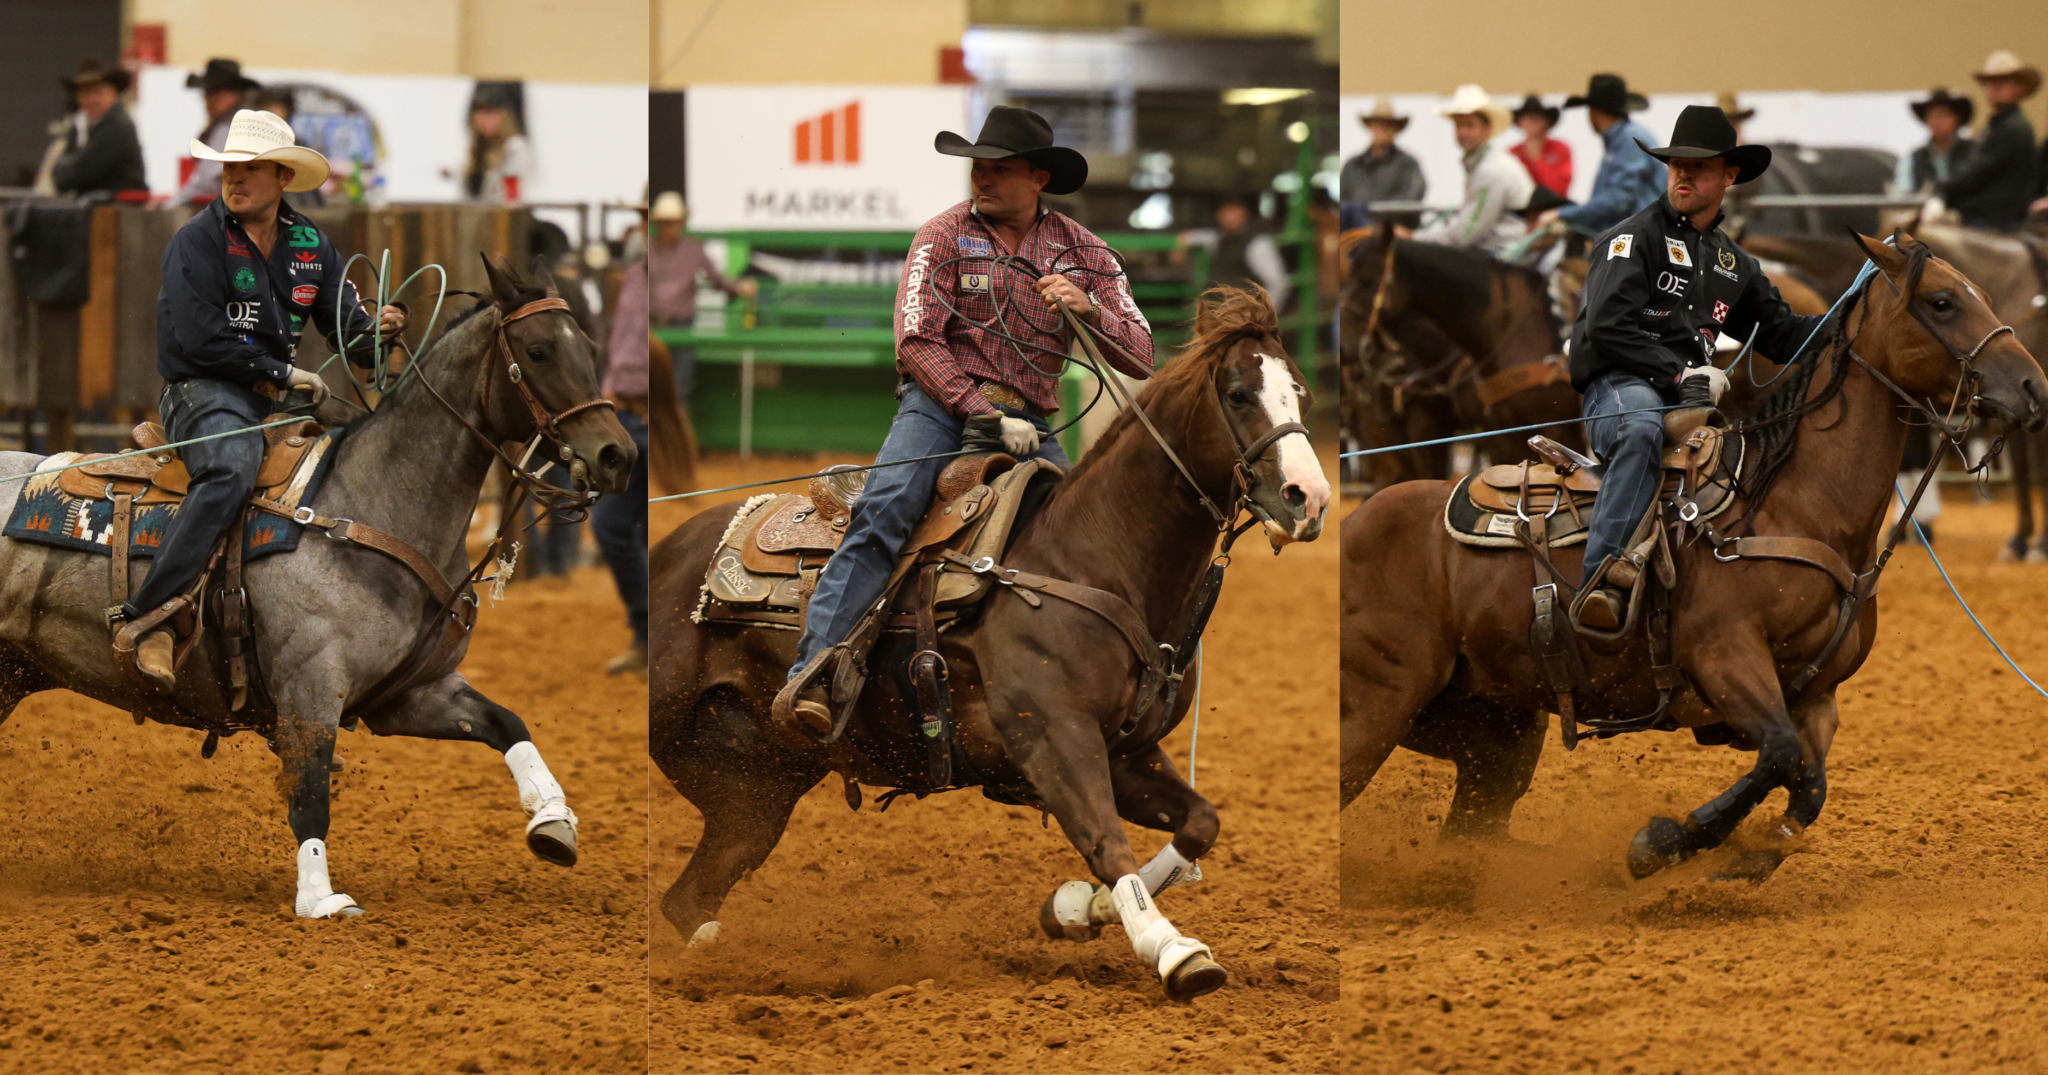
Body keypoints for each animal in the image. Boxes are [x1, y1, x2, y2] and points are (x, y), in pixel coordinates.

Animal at [0, 255, 635, 917]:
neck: (367, 505)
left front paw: (554, 821)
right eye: (538, 351)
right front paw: (320, 898)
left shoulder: (410, 693)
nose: (618, 456)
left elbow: (507, 724)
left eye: (591, 347)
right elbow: (309, 793)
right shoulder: (310, 690)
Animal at [650, 287, 1330, 1003]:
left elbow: (1200, 824)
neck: (1091, 558)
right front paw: (1173, 950)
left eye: (1304, 394)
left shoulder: (1126, 752)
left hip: (761, 786)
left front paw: (1073, 909)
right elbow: (1105, 841)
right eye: (1238, 393)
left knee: (690, 894)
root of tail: (675, 546)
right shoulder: (1054, 737)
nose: (1309, 498)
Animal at [1339, 233, 2045, 880]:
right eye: (1942, 301)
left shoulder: (1816, 694)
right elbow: (1779, 755)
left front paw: (1745, 858)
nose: (2033, 385)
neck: (1791, 503)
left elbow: (1808, 785)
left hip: (1494, 728)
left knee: (1471, 823)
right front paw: (1662, 842)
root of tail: (1355, 523)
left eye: (1982, 294)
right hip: (1377, 704)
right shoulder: (1724, 656)